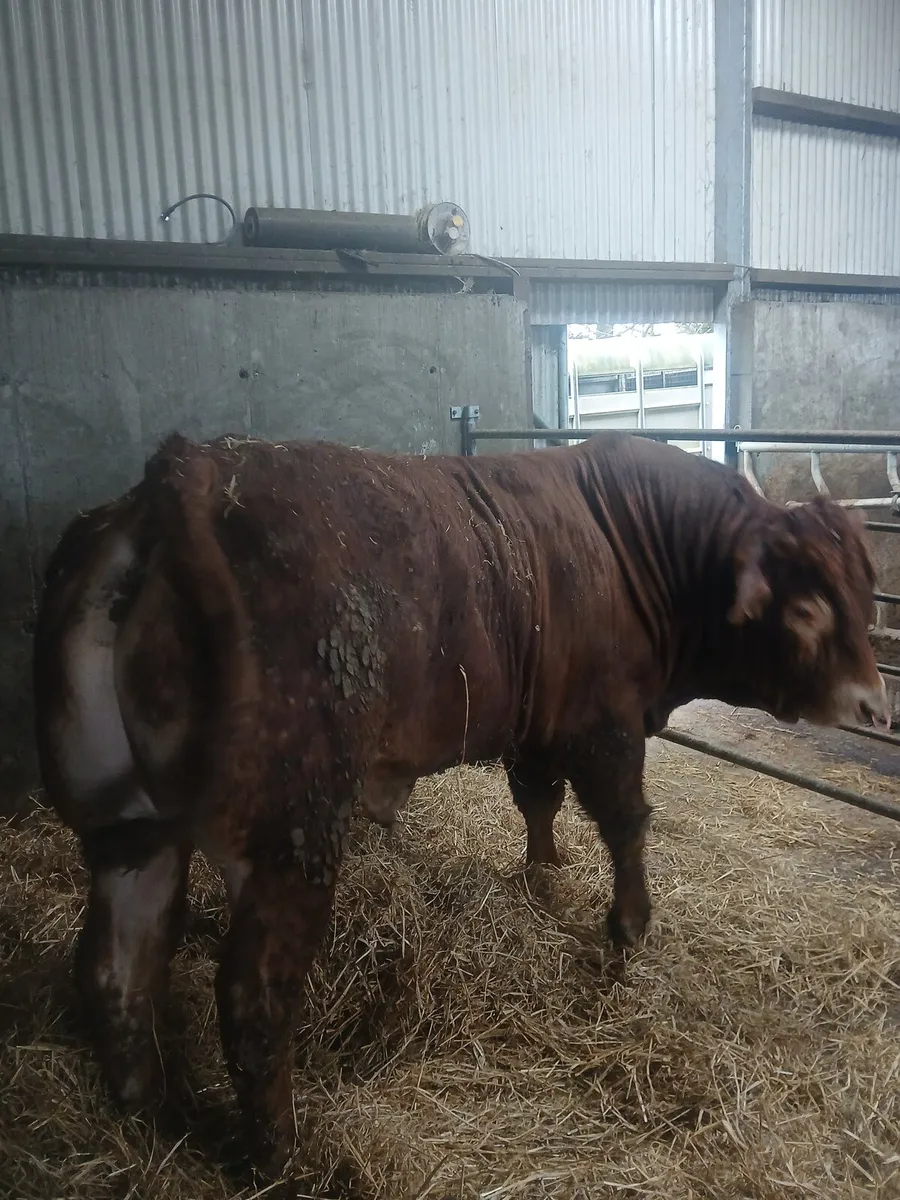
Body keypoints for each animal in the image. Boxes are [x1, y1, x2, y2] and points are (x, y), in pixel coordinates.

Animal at [33, 430, 888, 1173]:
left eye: (866, 593)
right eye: (808, 608)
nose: (876, 708)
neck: (630, 542)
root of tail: (183, 477)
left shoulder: (538, 723)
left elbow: (537, 802)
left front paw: (543, 873)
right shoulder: (604, 722)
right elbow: (625, 824)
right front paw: (626, 932)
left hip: (130, 832)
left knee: (116, 969)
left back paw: (143, 1113)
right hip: (291, 835)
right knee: (253, 1000)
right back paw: (280, 1153)